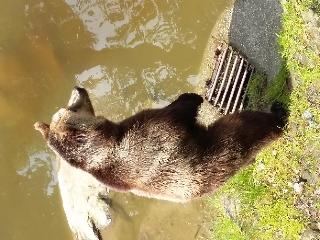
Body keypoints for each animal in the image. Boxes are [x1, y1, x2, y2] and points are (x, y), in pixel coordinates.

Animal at [34, 86, 284, 202]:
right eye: (70, 106)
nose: (78, 88)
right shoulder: (152, 136)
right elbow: (177, 114)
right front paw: (192, 97)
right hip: (221, 150)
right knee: (246, 127)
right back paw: (278, 114)